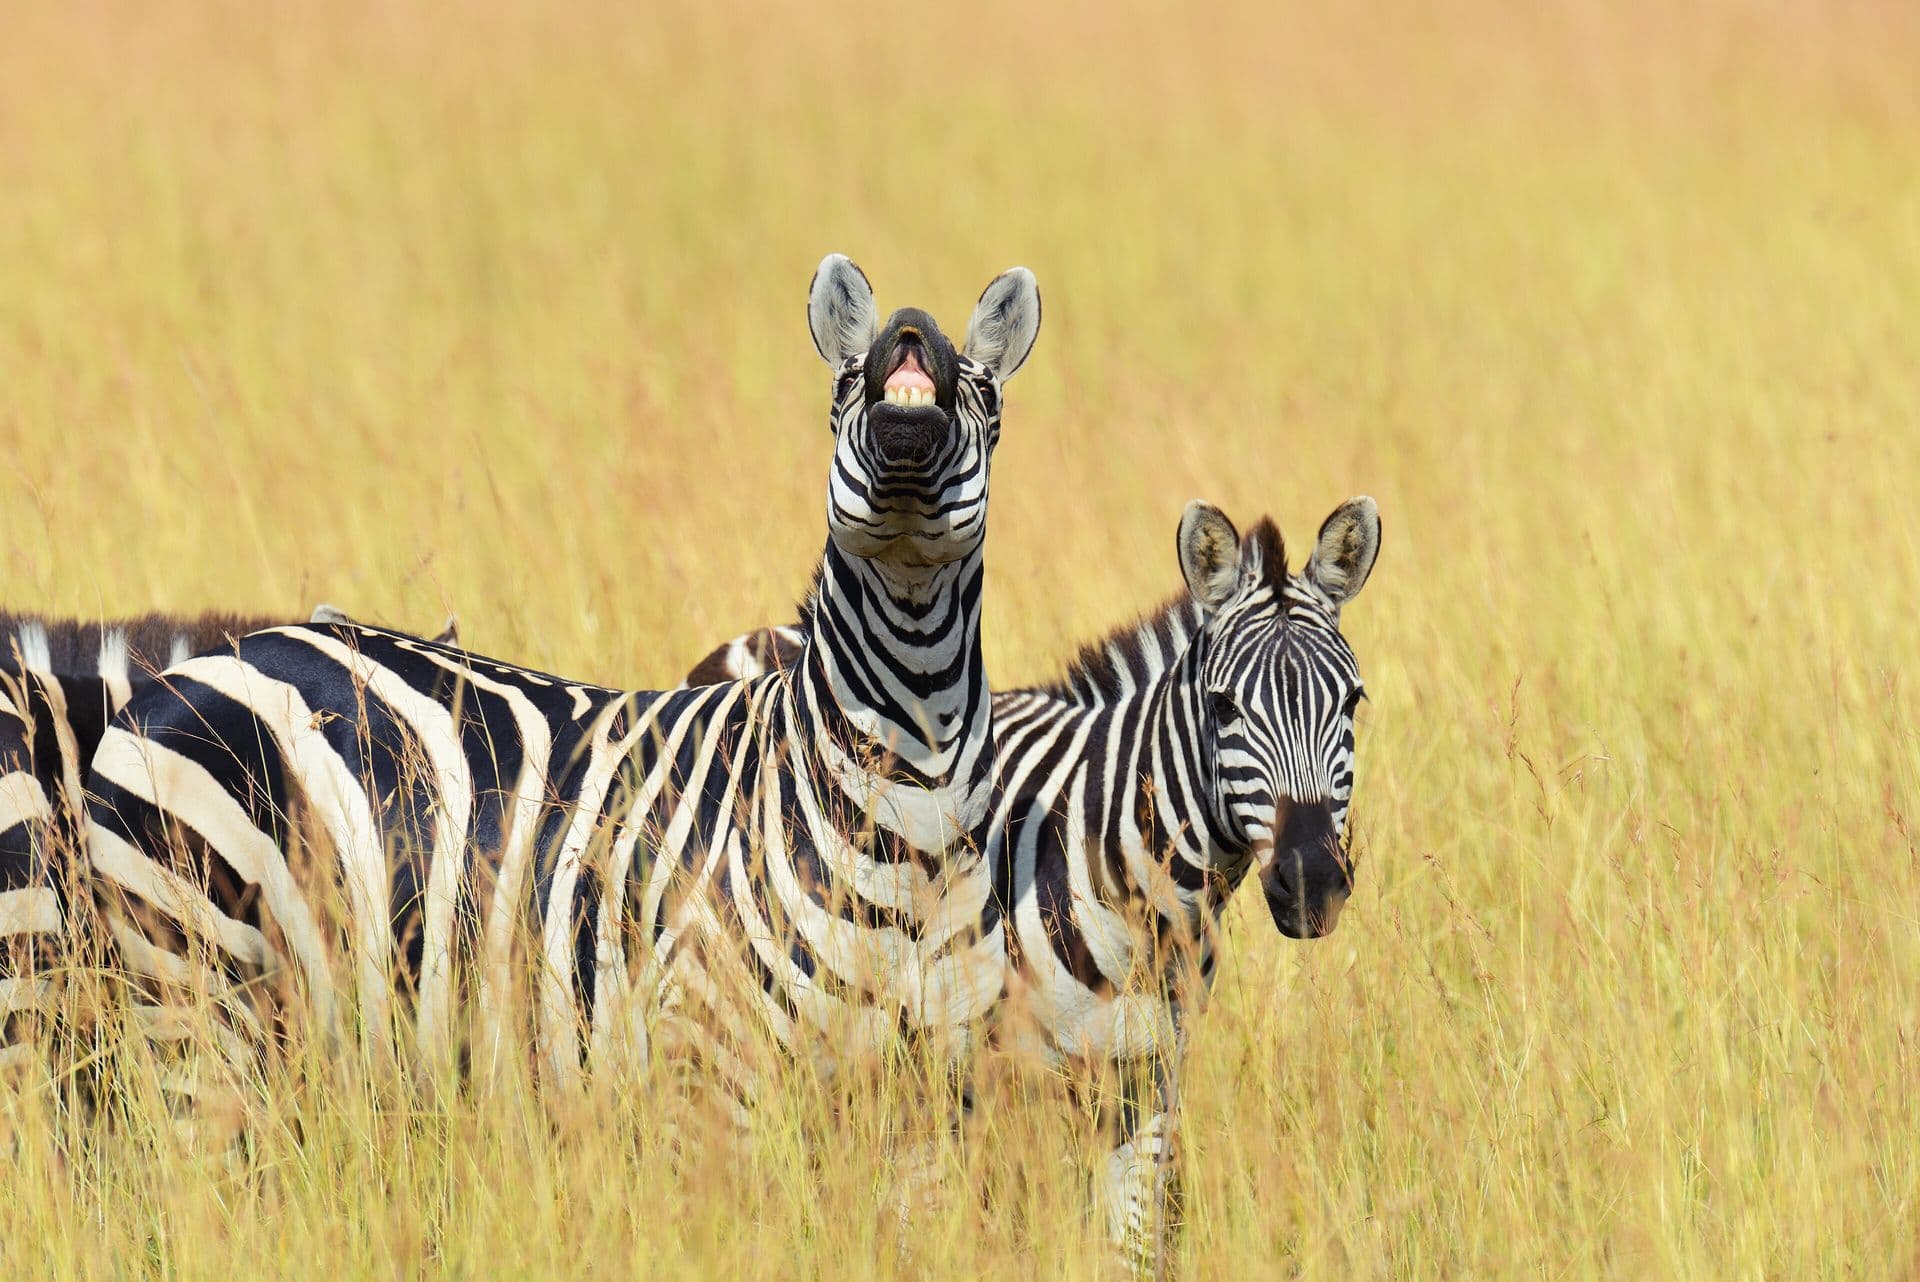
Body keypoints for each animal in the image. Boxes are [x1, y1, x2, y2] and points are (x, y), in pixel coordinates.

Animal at [81, 254, 1043, 1140]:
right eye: (844, 385)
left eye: (983, 394)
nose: (910, 332)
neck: (907, 800)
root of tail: (189, 673)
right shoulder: (709, 1070)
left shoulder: (936, 1098)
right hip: (192, 995)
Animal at [685, 495, 1381, 1270]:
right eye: (1224, 706)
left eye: (1352, 703)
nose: (1312, 882)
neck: (1137, 890)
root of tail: (764, 635)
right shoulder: (982, 1078)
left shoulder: (1146, 1085)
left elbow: (1133, 1248)